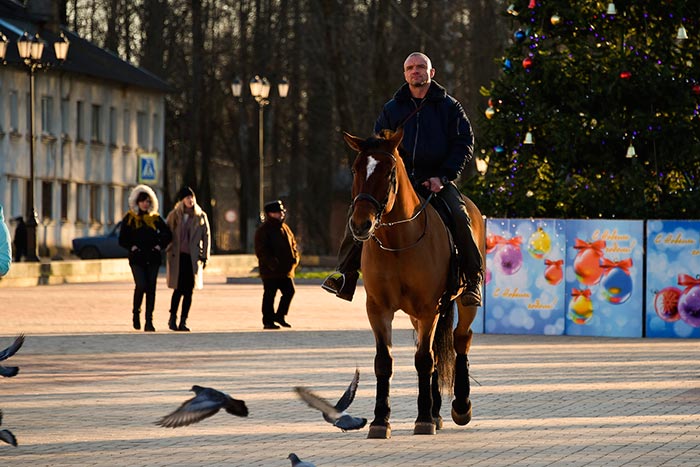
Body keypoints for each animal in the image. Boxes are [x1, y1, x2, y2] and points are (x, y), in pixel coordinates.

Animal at [344, 127, 484, 438]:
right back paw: (436, 412)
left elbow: (424, 360)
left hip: (461, 303)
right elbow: (384, 362)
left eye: (389, 172)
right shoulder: (379, 309)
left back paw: (460, 407)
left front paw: (423, 420)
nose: (360, 224)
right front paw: (380, 420)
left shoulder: (427, 308)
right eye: (356, 169)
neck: (399, 242)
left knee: (460, 340)